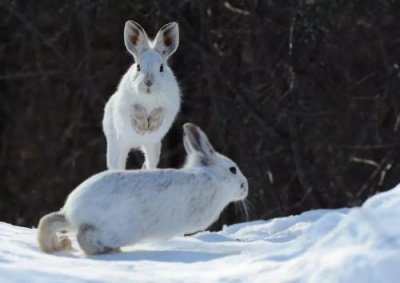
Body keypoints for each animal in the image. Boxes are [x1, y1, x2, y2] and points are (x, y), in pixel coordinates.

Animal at [38, 123, 250, 256]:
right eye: (232, 169)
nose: (245, 187)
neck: (212, 177)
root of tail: (74, 211)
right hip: (119, 230)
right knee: (84, 236)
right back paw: (107, 250)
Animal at [102, 21, 180, 171]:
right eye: (138, 66)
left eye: (161, 67)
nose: (148, 83)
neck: (148, 96)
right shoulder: (126, 104)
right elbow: (136, 108)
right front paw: (141, 128)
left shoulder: (169, 106)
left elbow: (159, 110)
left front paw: (152, 127)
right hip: (117, 145)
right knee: (117, 164)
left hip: (153, 147)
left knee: (150, 163)